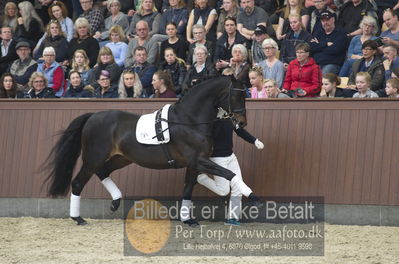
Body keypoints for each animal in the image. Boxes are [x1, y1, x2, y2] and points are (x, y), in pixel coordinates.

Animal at [44, 75, 256, 226]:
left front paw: (187, 219)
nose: (242, 123)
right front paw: (254, 198)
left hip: (121, 158)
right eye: (237, 95)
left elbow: (188, 188)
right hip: (93, 158)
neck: (189, 120)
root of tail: (92, 116)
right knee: (78, 182)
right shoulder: (198, 160)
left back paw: (115, 202)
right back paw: (78, 219)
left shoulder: (194, 163)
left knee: (103, 172)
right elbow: (229, 174)